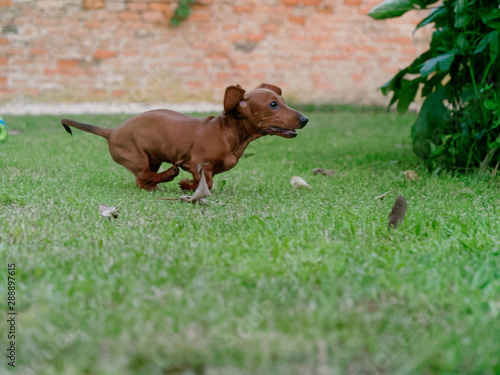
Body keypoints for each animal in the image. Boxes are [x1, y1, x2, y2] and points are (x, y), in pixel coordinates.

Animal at [60, 84, 306, 192]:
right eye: (273, 104)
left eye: (283, 101)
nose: (304, 119)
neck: (229, 133)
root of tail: (112, 131)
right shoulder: (199, 163)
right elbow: (207, 181)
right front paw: (188, 185)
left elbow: (207, 181)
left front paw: (188, 185)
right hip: (138, 159)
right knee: (142, 177)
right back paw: (168, 175)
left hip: (153, 158)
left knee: (145, 180)